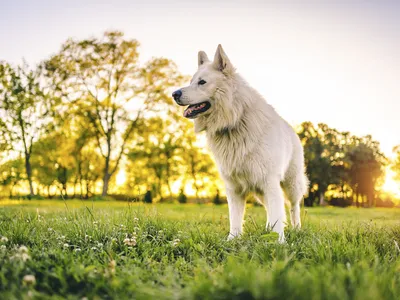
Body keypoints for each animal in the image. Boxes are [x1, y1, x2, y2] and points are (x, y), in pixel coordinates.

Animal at [173, 45, 310, 241]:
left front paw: (279, 241)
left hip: (291, 184)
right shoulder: (234, 187)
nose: (174, 94)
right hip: (261, 190)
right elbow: (236, 218)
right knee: (269, 207)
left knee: (293, 206)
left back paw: (296, 228)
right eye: (191, 81)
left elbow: (278, 213)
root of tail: (293, 131)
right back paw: (267, 229)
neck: (235, 120)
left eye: (202, 82)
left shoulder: (269, 181)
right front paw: (233, 239)